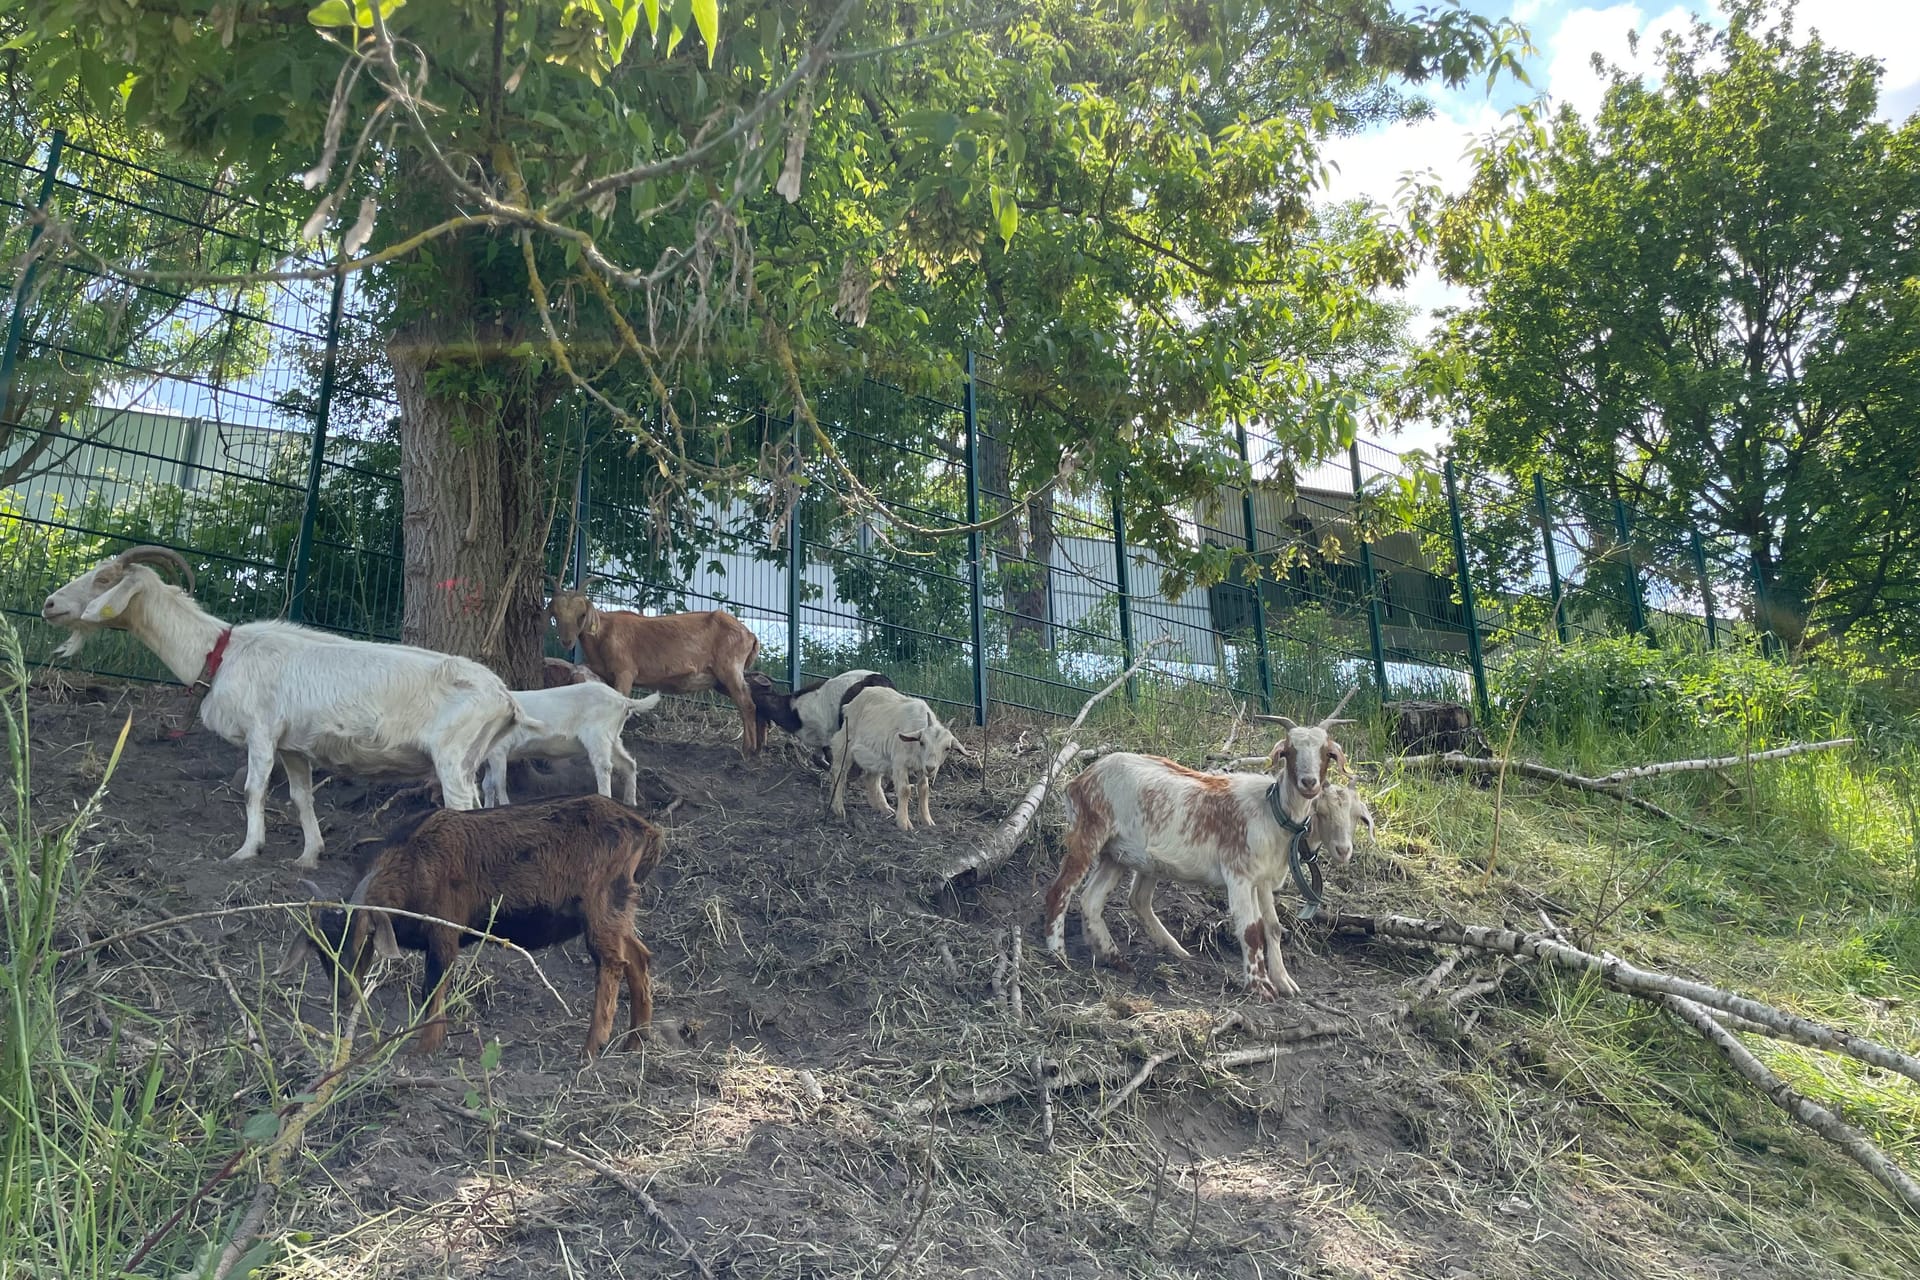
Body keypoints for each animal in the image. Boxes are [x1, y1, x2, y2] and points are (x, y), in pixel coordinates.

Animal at [278, 794, 668, 1059]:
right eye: (319, 949)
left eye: (364, 939)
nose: (344, 992)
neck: (414, 860)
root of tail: (647, 831)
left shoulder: (444, 931)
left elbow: (432, 989)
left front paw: (424, 1049)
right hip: (619, 905)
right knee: (639, 955)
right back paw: (635, 1040)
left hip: (602, 902)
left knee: (613, 962)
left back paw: (591, 1047)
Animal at [545, 587, 760, 756]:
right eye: (556, 615)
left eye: (581, 615)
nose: (567, 641)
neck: (603, 634)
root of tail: (750, 635)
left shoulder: (625, 672)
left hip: (730, 670)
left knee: (747, 704)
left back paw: (749, 750)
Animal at [1044, 690, 1359, 997]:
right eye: (1289, 751)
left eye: (1327, 753)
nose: (1309, 782)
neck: (1272, 812)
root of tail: (1080, 779)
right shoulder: (1239, 874)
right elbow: (1251, 929)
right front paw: (1261, 988)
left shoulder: (1263, 880)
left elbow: (1273, 927)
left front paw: (1284, 982)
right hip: (1090, 832)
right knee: (1060, 889)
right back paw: (1058, 954)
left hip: (1117, 853)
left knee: (1091, 899)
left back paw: (1115, 958)